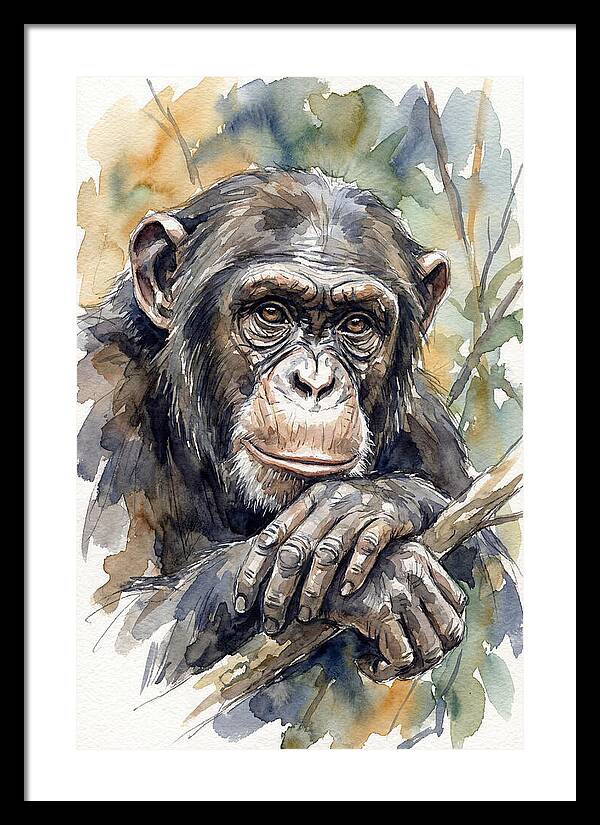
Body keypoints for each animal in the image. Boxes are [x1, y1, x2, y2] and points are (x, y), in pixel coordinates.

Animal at [78, 168, 521, 688]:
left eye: (357, 324)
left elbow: (501, 595)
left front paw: (368, 504)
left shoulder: (430, 431)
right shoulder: (100, 398)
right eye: (271, 312)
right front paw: (388, 579)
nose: (315, 382)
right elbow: (117, 630)